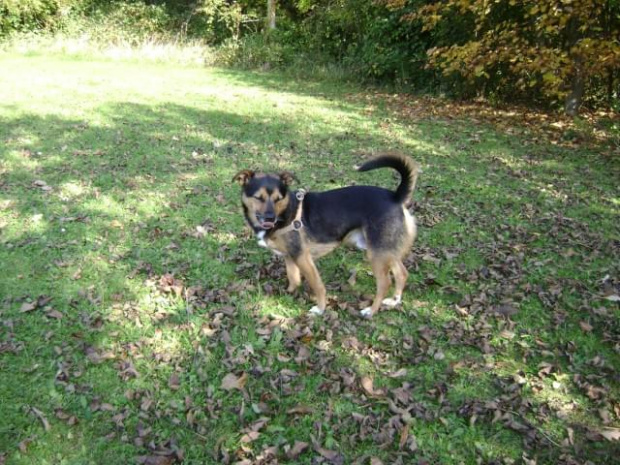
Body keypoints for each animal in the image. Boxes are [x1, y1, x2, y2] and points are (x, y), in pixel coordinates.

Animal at [234, 154, 422, 318]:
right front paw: (289, 293)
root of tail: (396, 197)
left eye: (278, 198)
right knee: (402, 273)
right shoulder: (290, 256)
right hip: (385, 250)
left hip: (377, 253)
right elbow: (293, 278)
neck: (286, 212)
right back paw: (395, 301)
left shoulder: (303, 257)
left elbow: (317, 286)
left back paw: (371, 311)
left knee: (385, 283)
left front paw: (320, 309)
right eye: (258, 197)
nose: (270, 218)